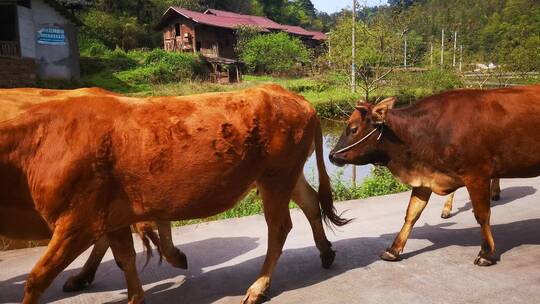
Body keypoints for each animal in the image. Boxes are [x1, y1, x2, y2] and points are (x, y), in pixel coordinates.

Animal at [0, 85, 348, 304]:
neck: (35, 144)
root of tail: (292, 96)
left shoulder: (77, 222)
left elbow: (36, 279)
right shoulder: (111, 217)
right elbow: (125, 259)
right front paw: (138, 294)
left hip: (275, 179)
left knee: (279, 228)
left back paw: (258, 287)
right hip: (285, 175)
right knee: (311, 202)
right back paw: (326, 252)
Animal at [330, 85, 540, 266]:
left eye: (353, 129)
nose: (332, 155)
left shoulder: (477, 175)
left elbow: (482, 215)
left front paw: (486, 253)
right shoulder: (425, 177)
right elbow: (412, 213)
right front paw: (394, 249)